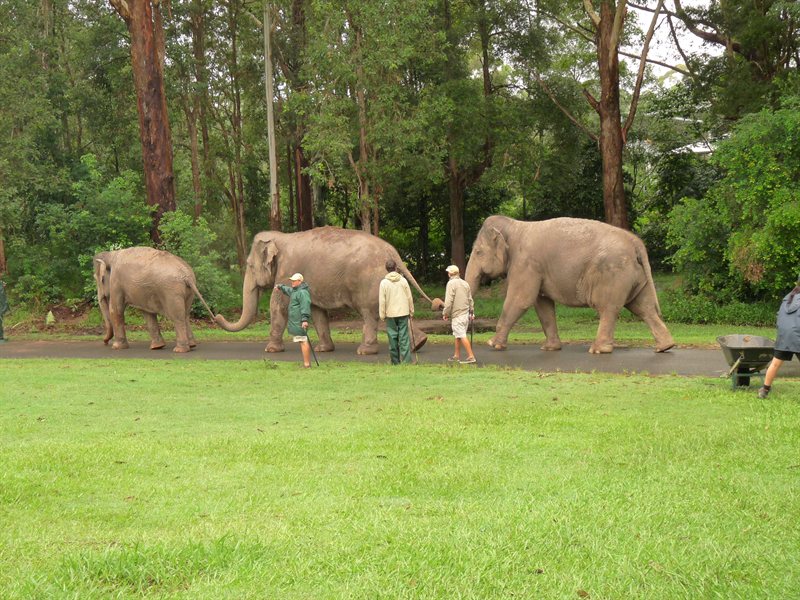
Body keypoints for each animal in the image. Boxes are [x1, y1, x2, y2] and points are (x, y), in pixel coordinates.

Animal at [214, 227, 436, 355]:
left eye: (250, 265)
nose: (216, 316)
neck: (281, 237)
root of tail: (393, 252)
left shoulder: (288, 269)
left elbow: (278, 305)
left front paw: (271, 350)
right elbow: (317, 311)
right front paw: (323, 350)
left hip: (368, 283)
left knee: (369, 313)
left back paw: (365, 351)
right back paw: (420, 344)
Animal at [464, 215, 675, 354]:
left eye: (478, 252)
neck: (514, 225)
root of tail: (636, 243)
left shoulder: (526, 264)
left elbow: (521, 299)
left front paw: (493, 344)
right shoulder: (536, 269)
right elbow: (542, 304)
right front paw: (550, 348)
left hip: (614, 274)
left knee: (608, 308)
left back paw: (598, 350)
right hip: (635, 276)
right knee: (643, 307)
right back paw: (664, 347)